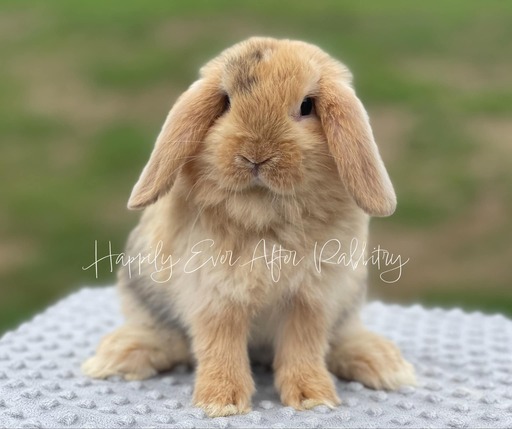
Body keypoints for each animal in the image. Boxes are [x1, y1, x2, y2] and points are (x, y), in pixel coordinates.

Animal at [81, 36, 416, 414]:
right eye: (226, 102)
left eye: (306, 106)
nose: (255, 155)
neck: (263, 208)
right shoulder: (216, 297)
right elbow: (220, 346)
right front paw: (222, 402)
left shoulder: (311, 300)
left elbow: (305, 347)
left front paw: (313, 398)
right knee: (170, 342)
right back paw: (118, 354)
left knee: (340, 340)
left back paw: (384, 363)